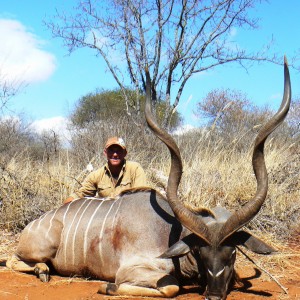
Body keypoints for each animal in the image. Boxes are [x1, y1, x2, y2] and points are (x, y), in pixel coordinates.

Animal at [1, 58, 290, 300]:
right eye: (199, 251)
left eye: (232, 253)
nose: (214, 295)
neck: (169, 233)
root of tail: (35, 223)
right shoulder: (133, 269)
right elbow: (170, 287)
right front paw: (106, 286)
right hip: (38, 249)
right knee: (15, 259)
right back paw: (42, 270)